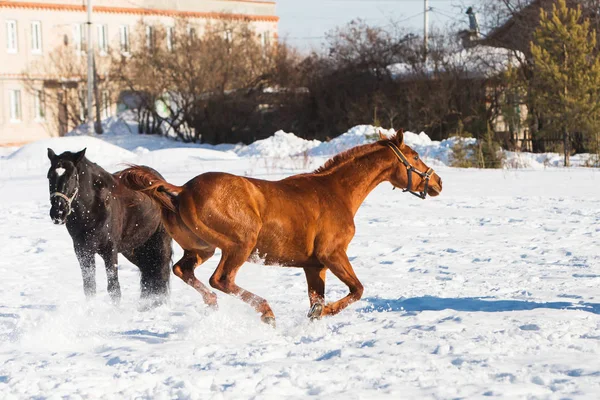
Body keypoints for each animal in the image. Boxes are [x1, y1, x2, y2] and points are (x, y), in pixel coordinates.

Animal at [47, 148, 171, 304]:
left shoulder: (110, 250)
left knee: (161, 273)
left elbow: (114, 289)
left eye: (71, 177)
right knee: (149, 273)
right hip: (136, 248)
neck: (92, 209)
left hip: (160, 242)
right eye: (49, 176)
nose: (58, 212)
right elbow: (89, 288)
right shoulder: (83, 251)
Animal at [119, 131, 442, 324]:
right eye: (414, 156)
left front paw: (316, 315)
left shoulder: (314, 266)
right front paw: (326, 312)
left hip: (203, 249)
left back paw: (213, 304)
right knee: (220, 279)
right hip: (240, 244)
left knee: (183, 270)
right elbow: (357, 290)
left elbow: (317, 298)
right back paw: (265, 311)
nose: (437, 182)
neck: (337, 192)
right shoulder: (332, 255)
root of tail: (183, 189)